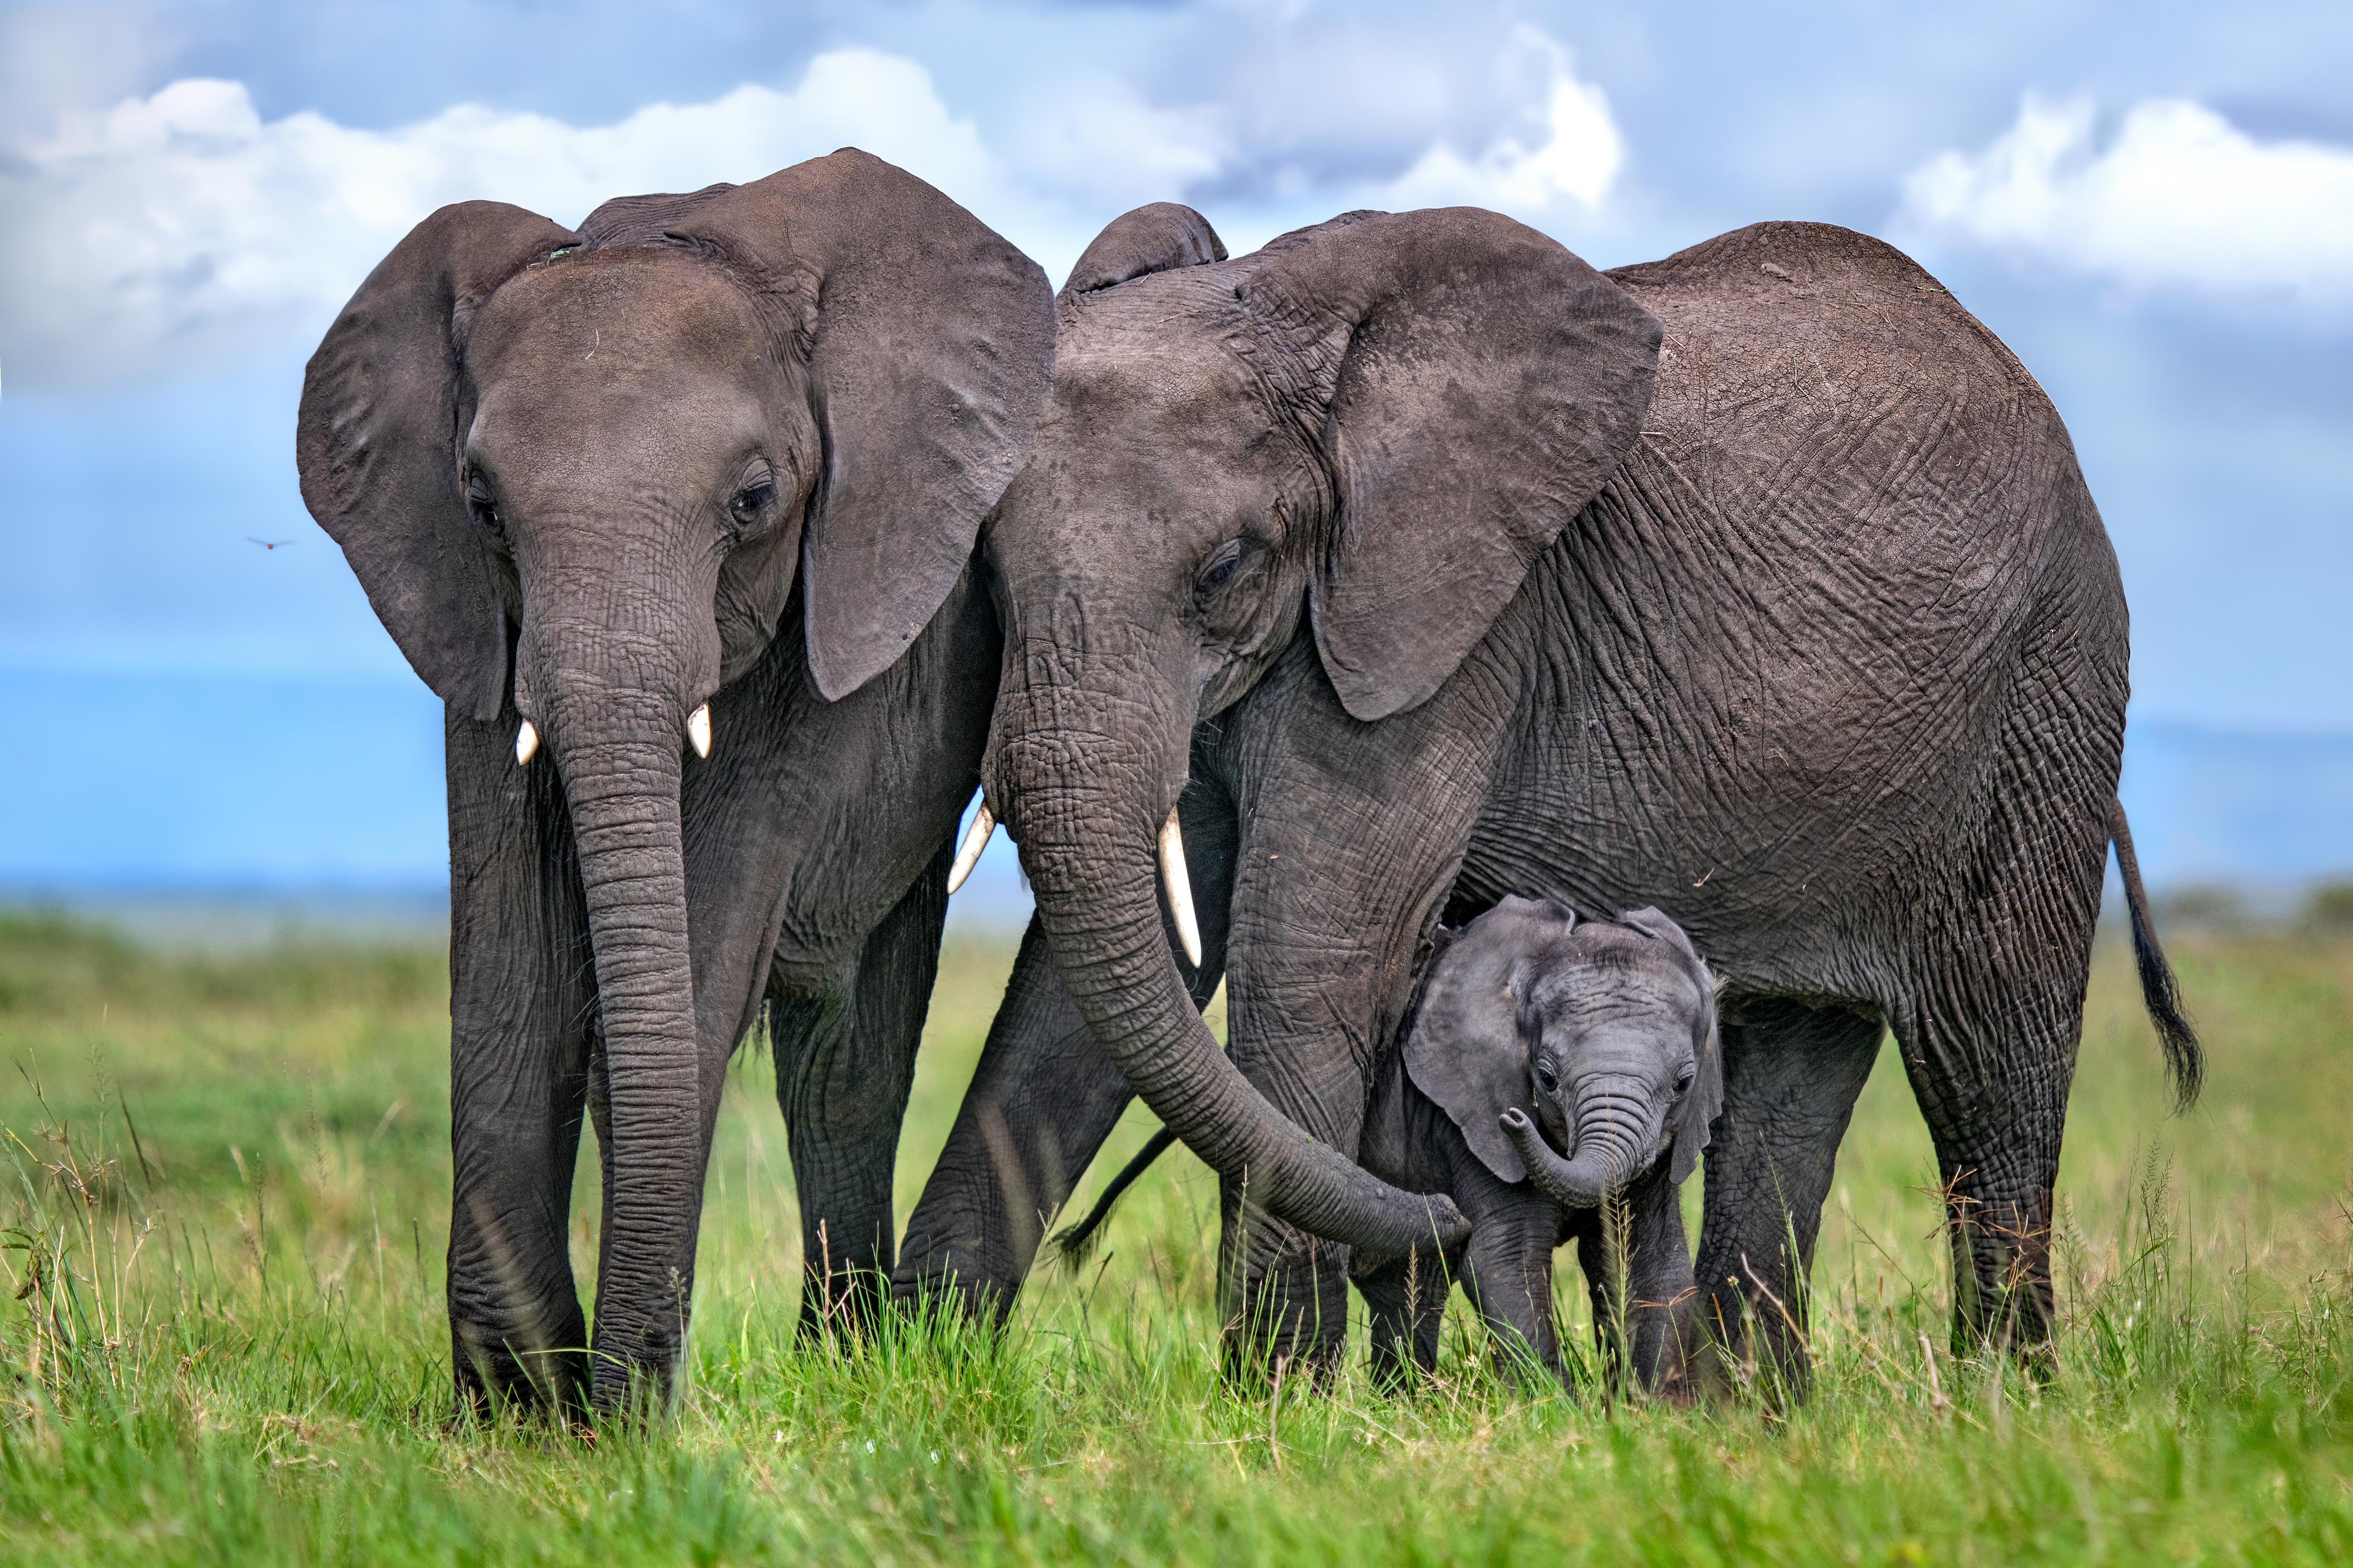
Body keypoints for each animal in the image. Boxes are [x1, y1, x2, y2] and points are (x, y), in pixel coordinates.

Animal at [298, 153, 1054, 1420]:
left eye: (753, 501)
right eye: (482, 507)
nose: (613, 1394)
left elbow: (686, 979)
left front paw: (613, 1414)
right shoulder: (477, 628)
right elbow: (510, 976)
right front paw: (516, 1406)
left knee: (848, 1060)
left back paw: (846, 1363)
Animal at [1355, 893, 1722, 1401]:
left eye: (1684, 1083)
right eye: (1546, 1077)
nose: (1514, 1118)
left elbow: (1652, 1262)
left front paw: (1656, 1408)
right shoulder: (1470, 1118)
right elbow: (1508, 1257)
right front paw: (1556, 1407)